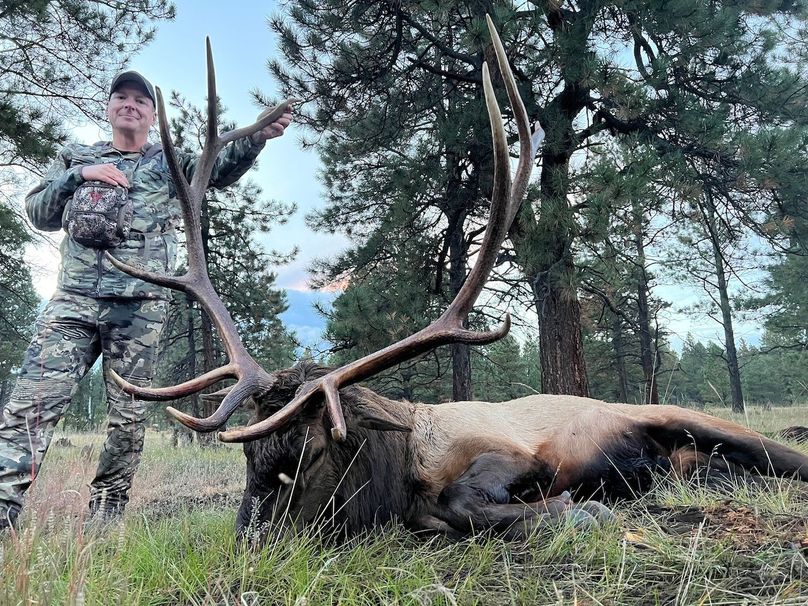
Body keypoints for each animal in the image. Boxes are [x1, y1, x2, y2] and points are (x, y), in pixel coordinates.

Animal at [107, 17, 808, 541]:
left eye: (314, 449)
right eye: (251, 455)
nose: (249, 535)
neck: (395, 477)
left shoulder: (509, 449)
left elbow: (468, 502)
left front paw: (578, 508)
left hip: (687, 417)